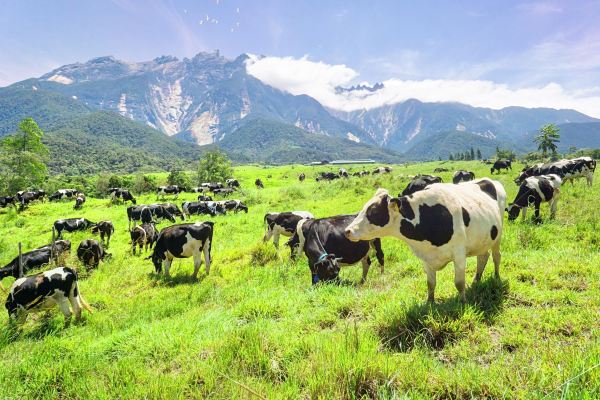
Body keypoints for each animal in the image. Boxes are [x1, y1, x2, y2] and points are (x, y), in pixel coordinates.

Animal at [346, 179, 506, 304]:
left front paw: (463, 301)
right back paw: (476, 281)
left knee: (496, 257)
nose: (348, 231)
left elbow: (459, 283)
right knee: (483, 257)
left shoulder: (459, 253)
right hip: (483, 239)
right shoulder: (425, 257)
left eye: (373, 211)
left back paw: (497, 277)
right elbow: (430, 283)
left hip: (497, 236)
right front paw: (430, 303)